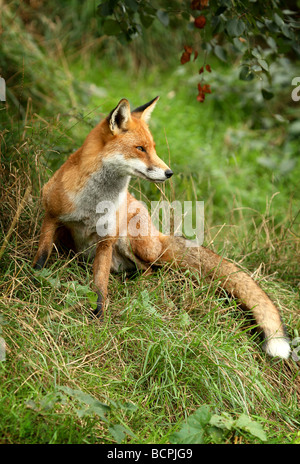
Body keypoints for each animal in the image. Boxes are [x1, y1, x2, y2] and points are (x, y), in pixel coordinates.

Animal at [33, 97, 290, 358]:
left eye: (153, 148)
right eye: (140, 148)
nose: (169, 172)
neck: (93, 205)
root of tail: (161, 237)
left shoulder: (107, 240)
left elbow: (100, 286)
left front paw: (98, 318)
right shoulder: (51, 216)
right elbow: (42, 257)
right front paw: (33, 282)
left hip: (132, 241)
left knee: (150, 270)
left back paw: (136, 285)